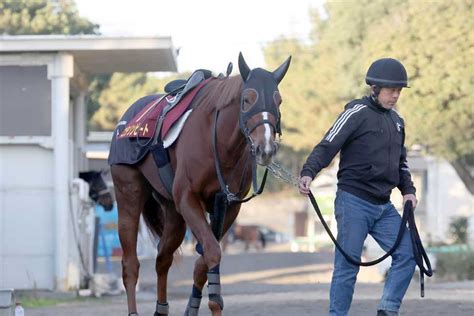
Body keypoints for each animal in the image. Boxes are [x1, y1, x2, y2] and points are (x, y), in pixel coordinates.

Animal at [109, 53, 290, 314]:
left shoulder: (227, 206)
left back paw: (161, 308)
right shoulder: (188, 198)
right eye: (247, 99)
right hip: (128, 195)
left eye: (278, 100)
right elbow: (212, 252)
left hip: (174, 215)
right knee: (130, 263)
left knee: (162, 258)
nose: (265, 148)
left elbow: (203, 261)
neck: (218, 142)